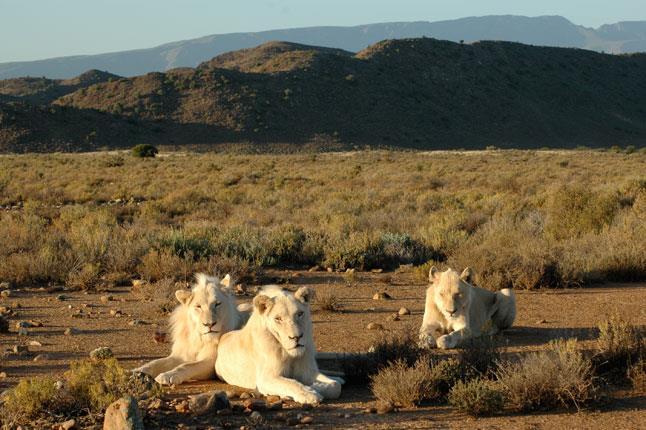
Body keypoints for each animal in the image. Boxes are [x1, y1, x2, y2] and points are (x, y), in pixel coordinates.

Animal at [215, 286, 344, 404]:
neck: (290, 354)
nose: (296, 337)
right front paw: (310, 393)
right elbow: (292, 383)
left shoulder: (307, 371)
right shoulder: (266, 378)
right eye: (278, 318)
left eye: (300, 314)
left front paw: (317, 386)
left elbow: (335, 386)